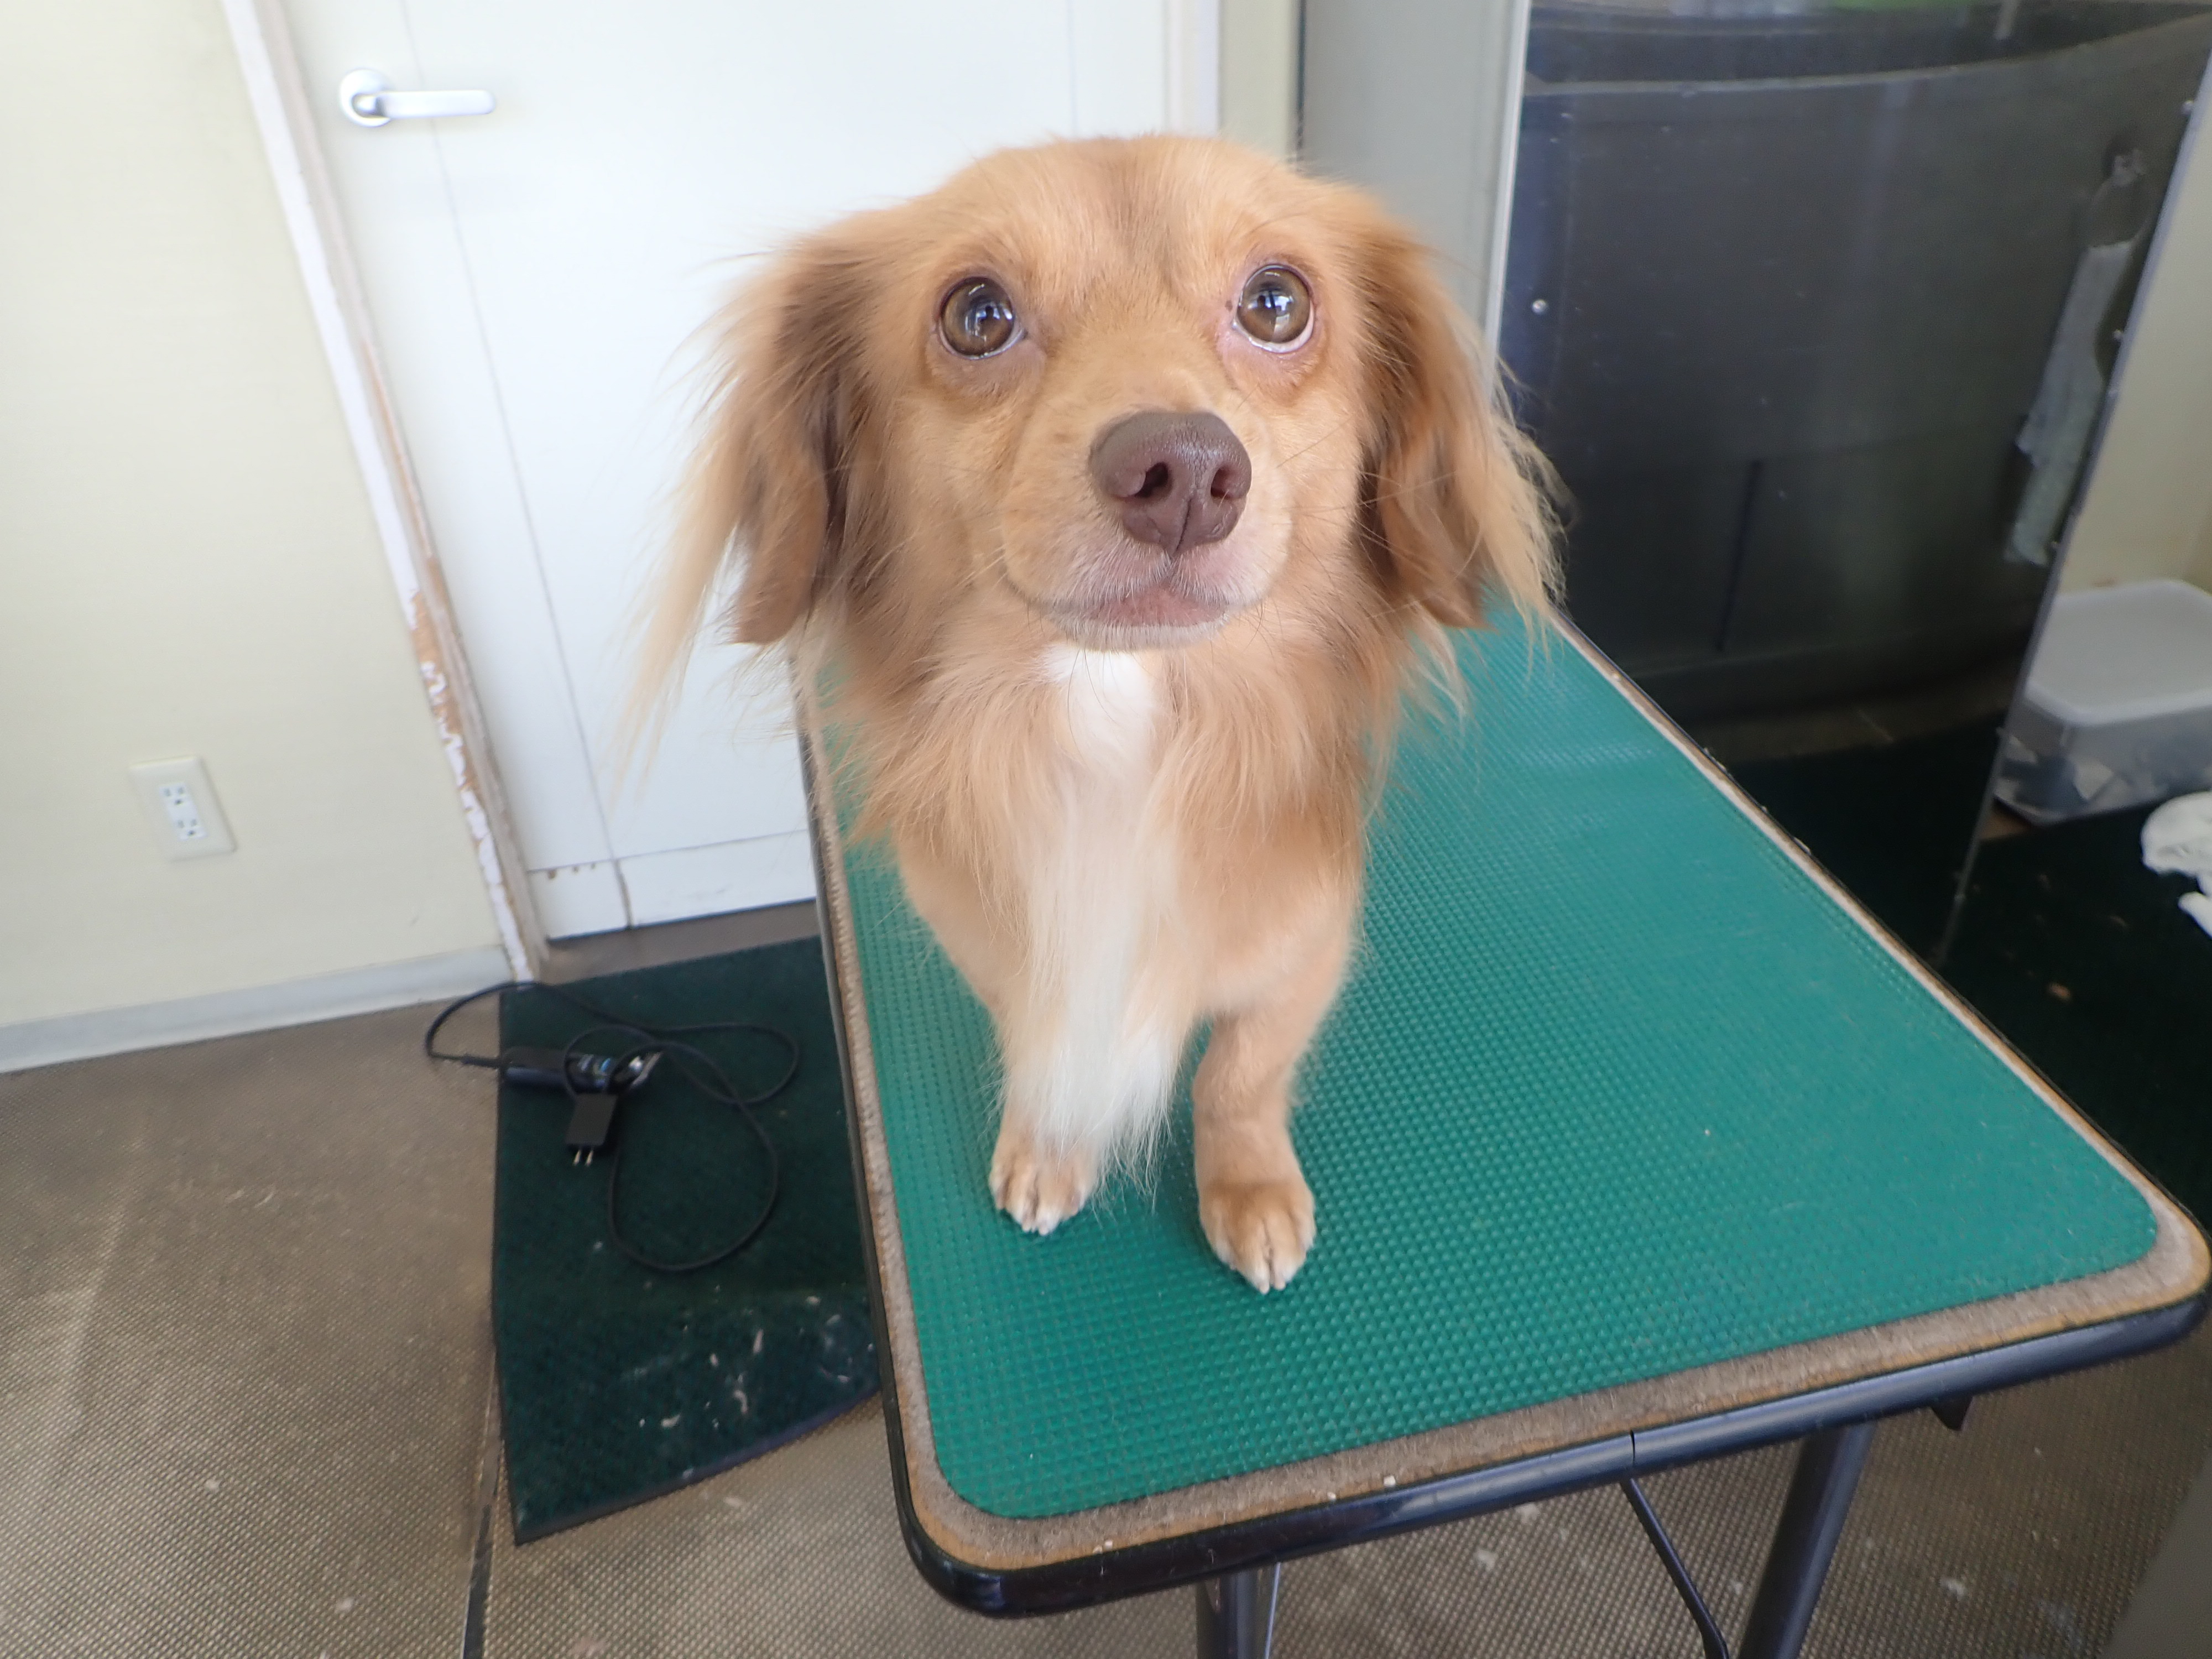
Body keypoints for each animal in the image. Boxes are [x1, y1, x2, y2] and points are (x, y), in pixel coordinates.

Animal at [640, 136, 1556, 1292]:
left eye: (1278, 303)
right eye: (976, 315)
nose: (1187, 472)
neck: (1117, 719)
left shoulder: (1302, 950)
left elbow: (1238, 1079)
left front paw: (1249, 1187)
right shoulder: (998, 946)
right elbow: (1044, 1041)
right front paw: (1050, 1147)